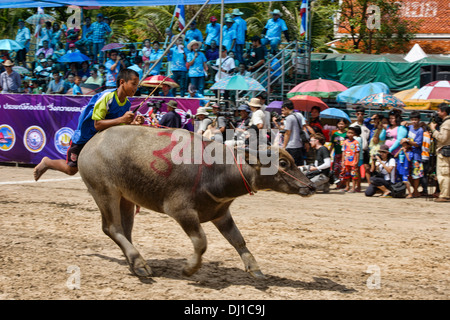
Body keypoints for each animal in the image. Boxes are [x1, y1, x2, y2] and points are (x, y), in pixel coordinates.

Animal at [77, 125, 314, 278]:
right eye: (283, 163)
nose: (311, 186)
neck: (215, 170)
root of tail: (89, 144)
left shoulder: (221, 214)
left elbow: (238, 240)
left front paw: (254, 268)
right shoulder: (181, 211)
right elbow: (201, 242)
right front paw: (189, 268)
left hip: (125, 197)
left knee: (125, 231)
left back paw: (135, 263)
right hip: (104, 192)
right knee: (112, 228)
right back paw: (140, 263)